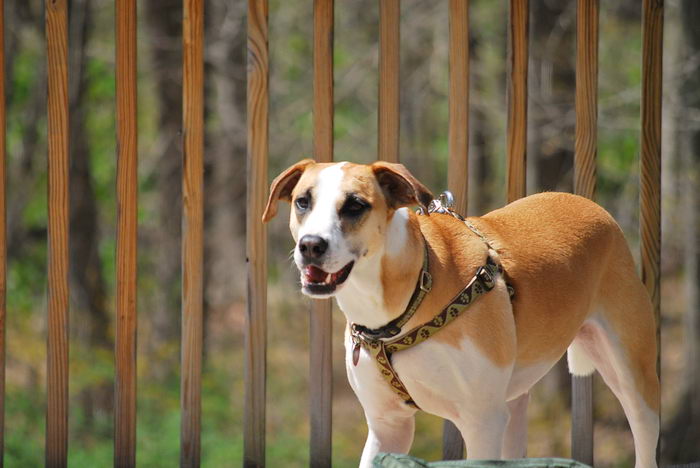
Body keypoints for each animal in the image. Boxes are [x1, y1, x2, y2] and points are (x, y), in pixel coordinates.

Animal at [260, 159, 660, 466]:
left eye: (355, 205)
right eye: (302, 202)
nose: (311, 246)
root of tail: (590, 205)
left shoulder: (481, 421)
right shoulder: (387, 426)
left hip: (632, 374)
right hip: (513, 402)